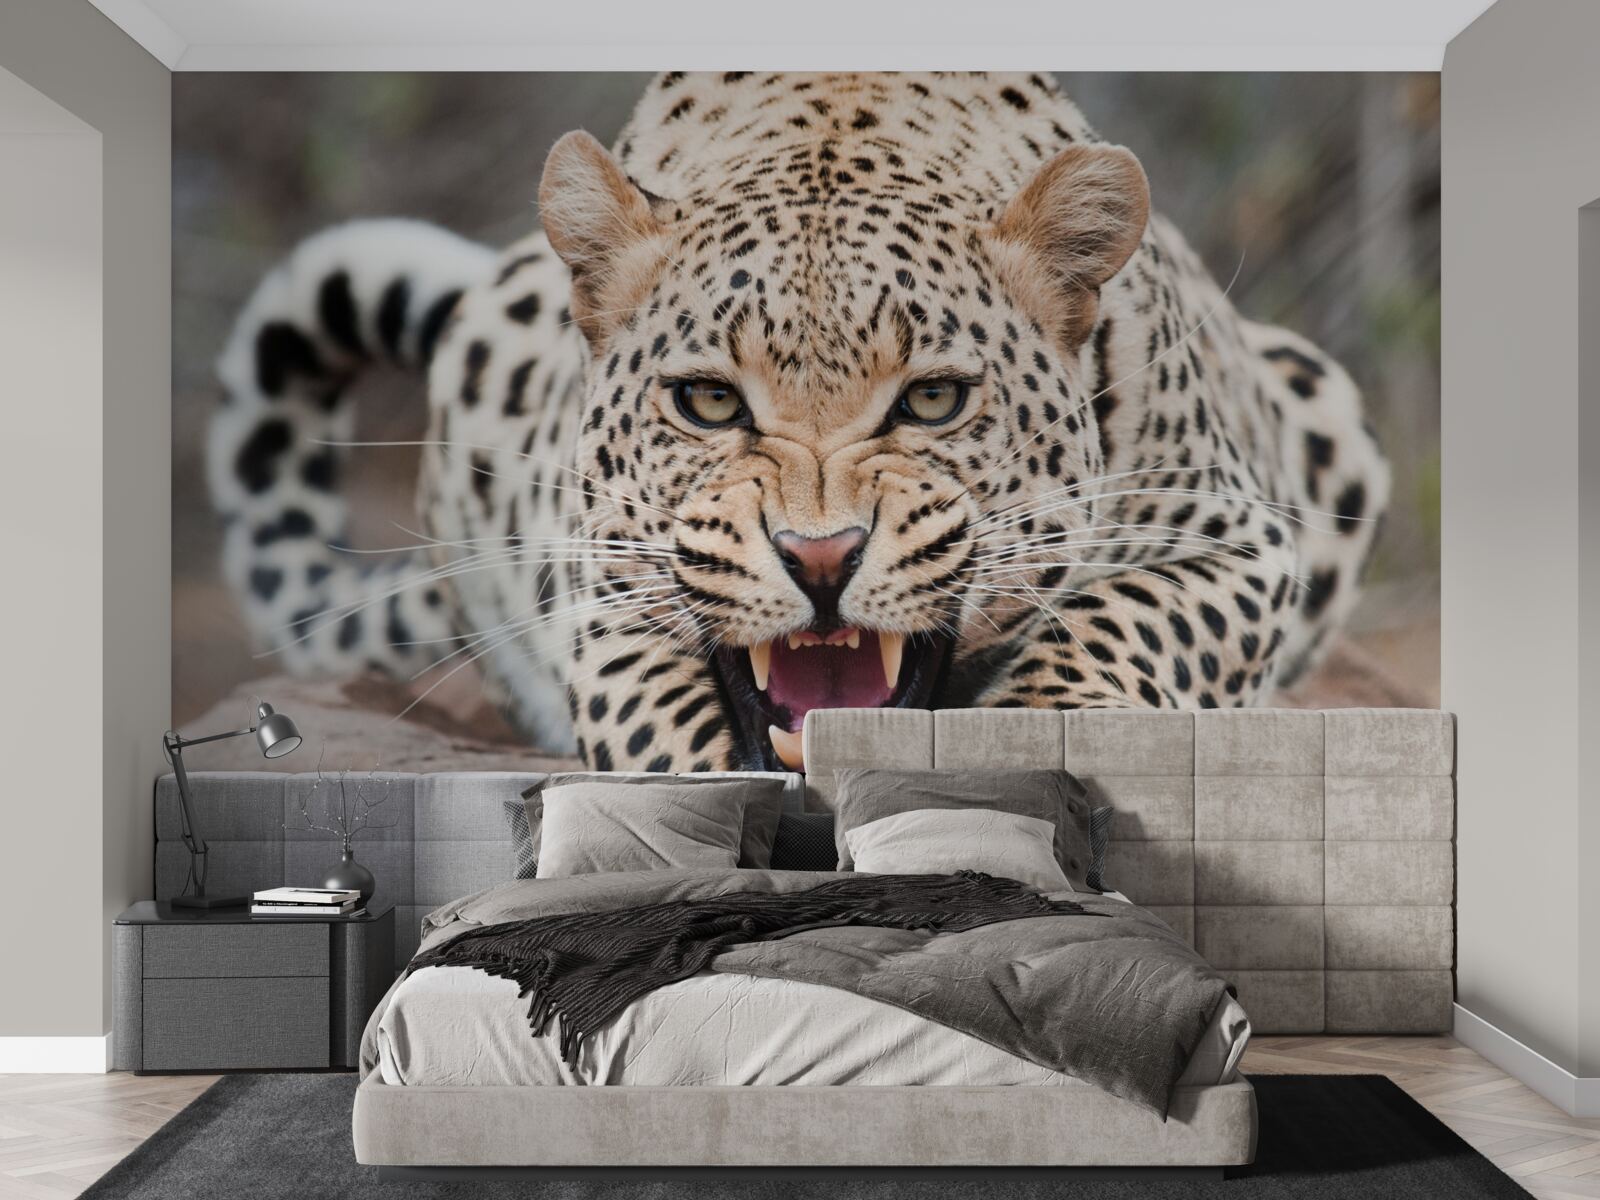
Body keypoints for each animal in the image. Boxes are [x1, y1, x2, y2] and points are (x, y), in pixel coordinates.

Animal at [209, 71, 1388, 773]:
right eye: (708, 401)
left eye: (933, 399)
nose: (821, 558)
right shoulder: (601, 594)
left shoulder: (1241, 538)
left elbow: (1122, 618)